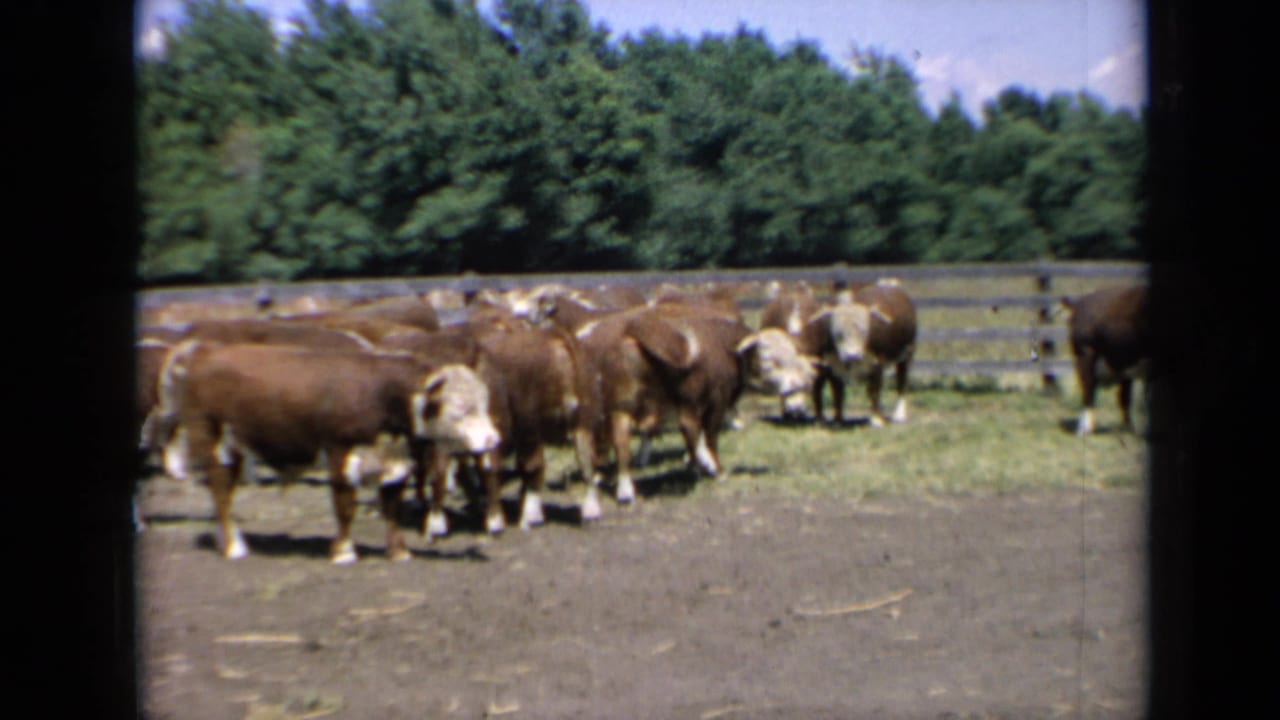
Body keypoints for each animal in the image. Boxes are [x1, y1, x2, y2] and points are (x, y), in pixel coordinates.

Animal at [155, 341, 501, 563]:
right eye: (460, 409)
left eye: (484, 403)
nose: (492, 440)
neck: (381, 396)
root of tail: (206, 352)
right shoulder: (340, 455)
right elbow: (345, 508)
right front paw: (344, 551)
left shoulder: (396, 463)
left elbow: (392, 509)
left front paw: (399, 552)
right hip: (213, 440)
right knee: (219, 492)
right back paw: (232, 547)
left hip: (237, 446)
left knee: (224, 491)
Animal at [810, 279, 918, 427]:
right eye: (838, 333)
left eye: (864, 331)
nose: (852, 355)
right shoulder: (832, 365)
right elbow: (837, 392)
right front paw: (838, 419)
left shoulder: (878, 363)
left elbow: (874, 390)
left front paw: (876, 419)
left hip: (907, 353)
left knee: (901, 382)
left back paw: (899, 414)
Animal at [1061, 284, 1151, 436]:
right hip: (1086, 353)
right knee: (1088, 389)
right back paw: (1084, 429)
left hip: (1123, 363)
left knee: (1123, 397)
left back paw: (1128, 429)